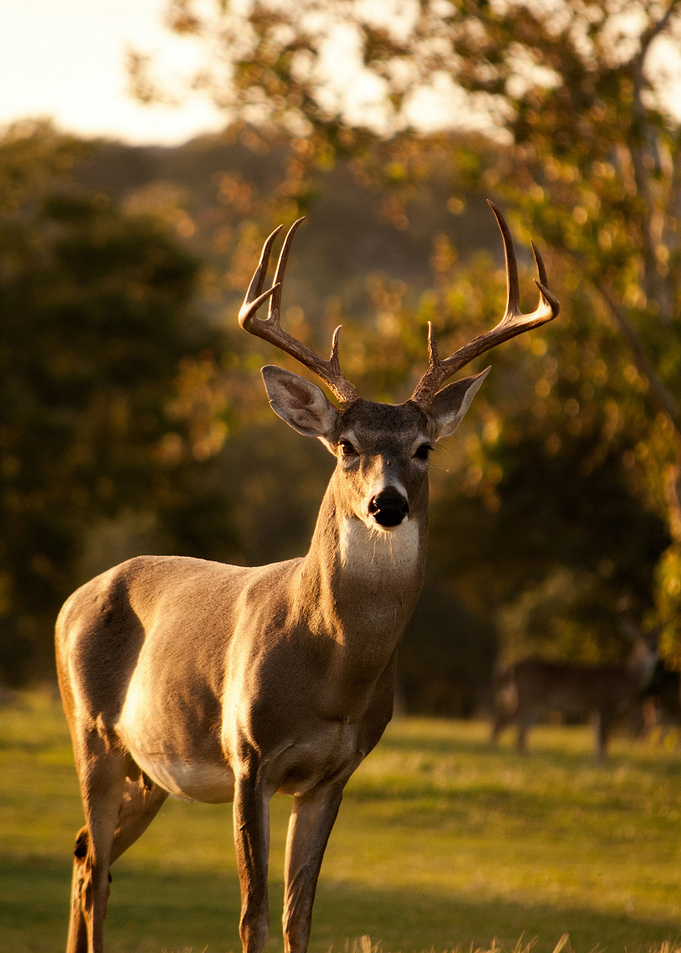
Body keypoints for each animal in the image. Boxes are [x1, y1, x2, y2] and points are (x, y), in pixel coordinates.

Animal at [55, 201, 558, 953]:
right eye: (345, 445)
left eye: (423, 448)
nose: (387, 503)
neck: (331, 669)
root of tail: (72, 600)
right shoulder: (248, 755)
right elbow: (253, 914)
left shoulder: (332, 773)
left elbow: (299, 915)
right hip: (91, 731)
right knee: (94, 867)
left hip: (149, 768)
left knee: (89, 853)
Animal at [490, 623, 659, 762]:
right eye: (641, 638)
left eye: (657, 637)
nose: (653, 648)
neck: (628, 677)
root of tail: (509, 669)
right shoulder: (605, 704)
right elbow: (603, 737)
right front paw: (603, 763)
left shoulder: (595, 708)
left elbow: (596, 736)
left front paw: (596, 762)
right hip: (527, 698)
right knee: (503, 721)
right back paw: (494, 751)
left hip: (530, 702)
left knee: (520, 730)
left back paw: (525, 756)